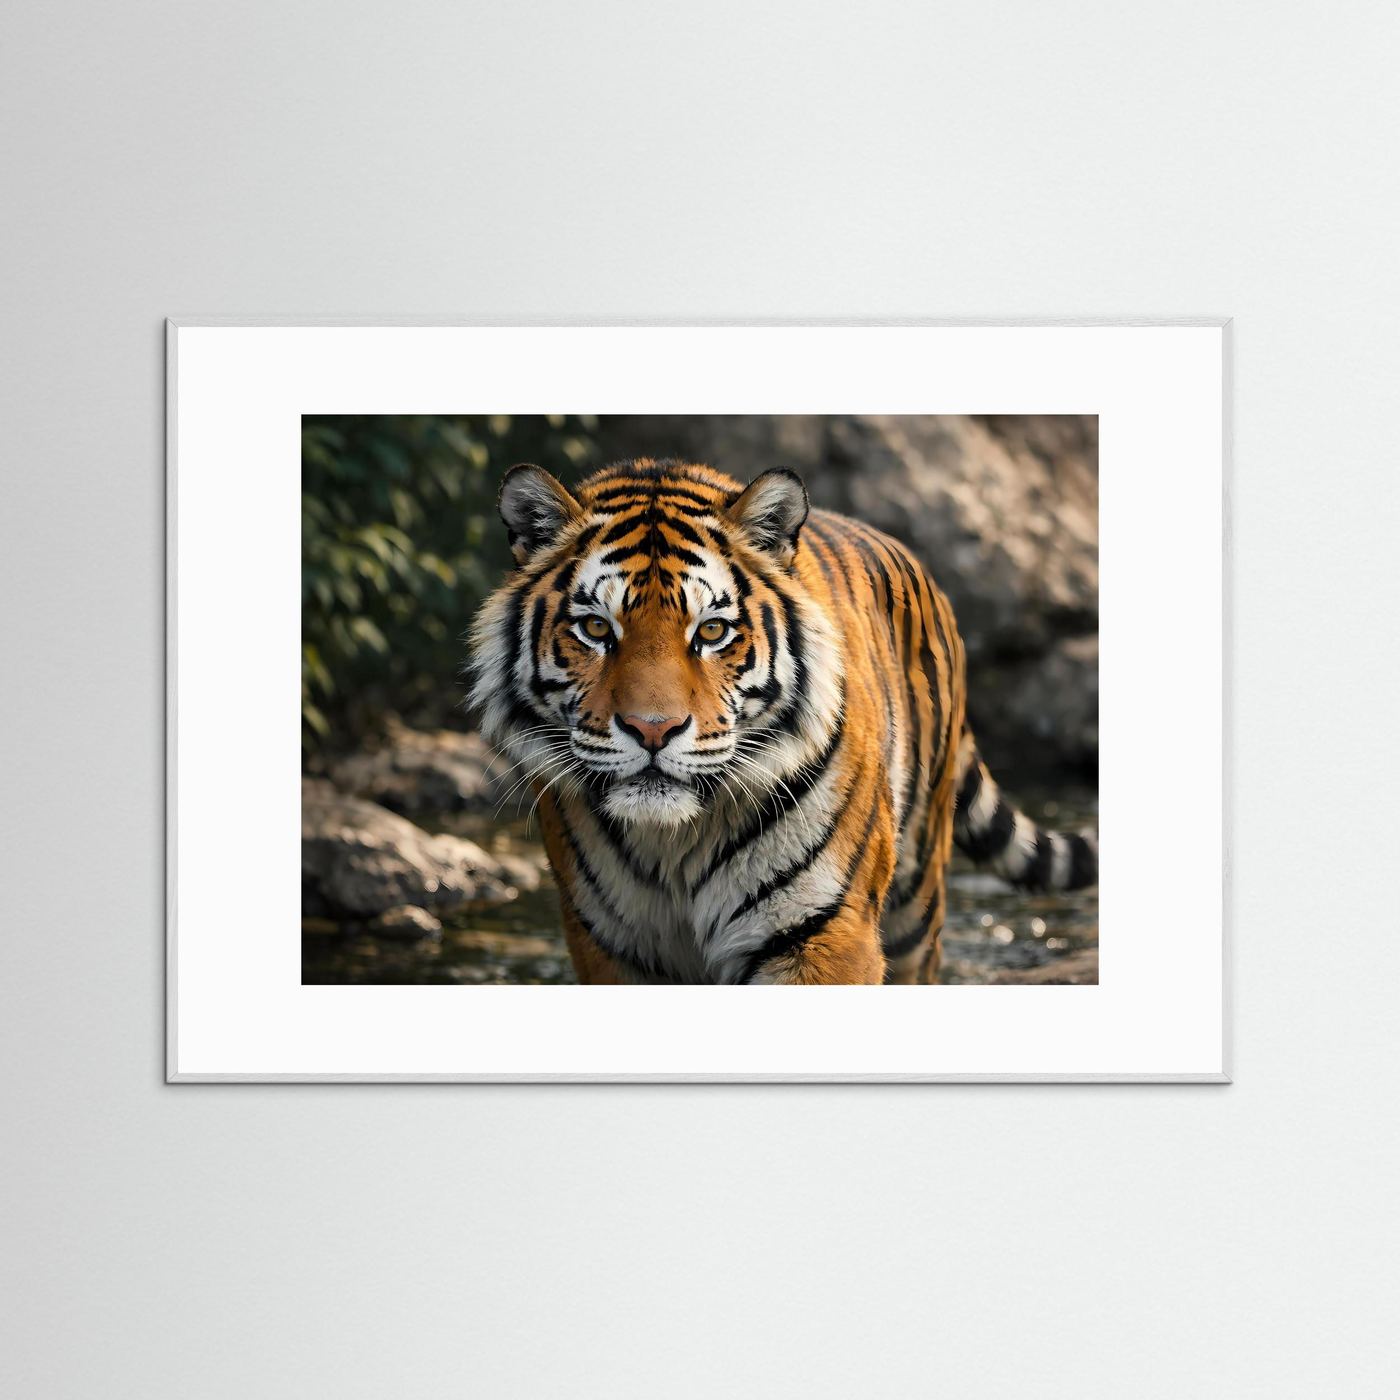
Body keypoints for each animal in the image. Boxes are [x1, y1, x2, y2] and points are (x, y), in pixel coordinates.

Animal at [467, 457, 1097, 984]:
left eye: (711, 631)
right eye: (597, 628)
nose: (652, 730)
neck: (673, 843)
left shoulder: (822, 931)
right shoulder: (608, 943)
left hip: (918, 904)